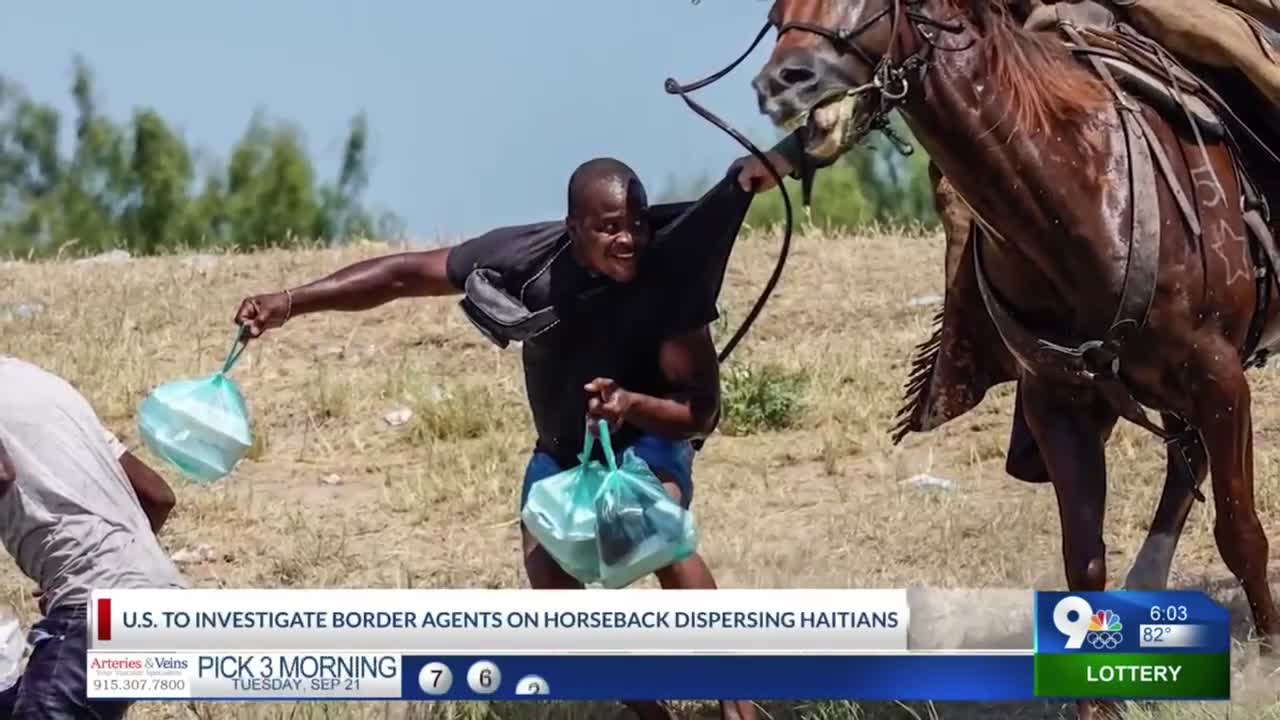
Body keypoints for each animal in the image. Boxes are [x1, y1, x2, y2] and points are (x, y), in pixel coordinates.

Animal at [747, 0, 1280, 707]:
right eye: (775, 13)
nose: (783, 83)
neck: (1073, 188)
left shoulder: (1221, 381)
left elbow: (1240, 532)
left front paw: (1270, 658)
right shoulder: (1059, 402)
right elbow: (1084, 560)